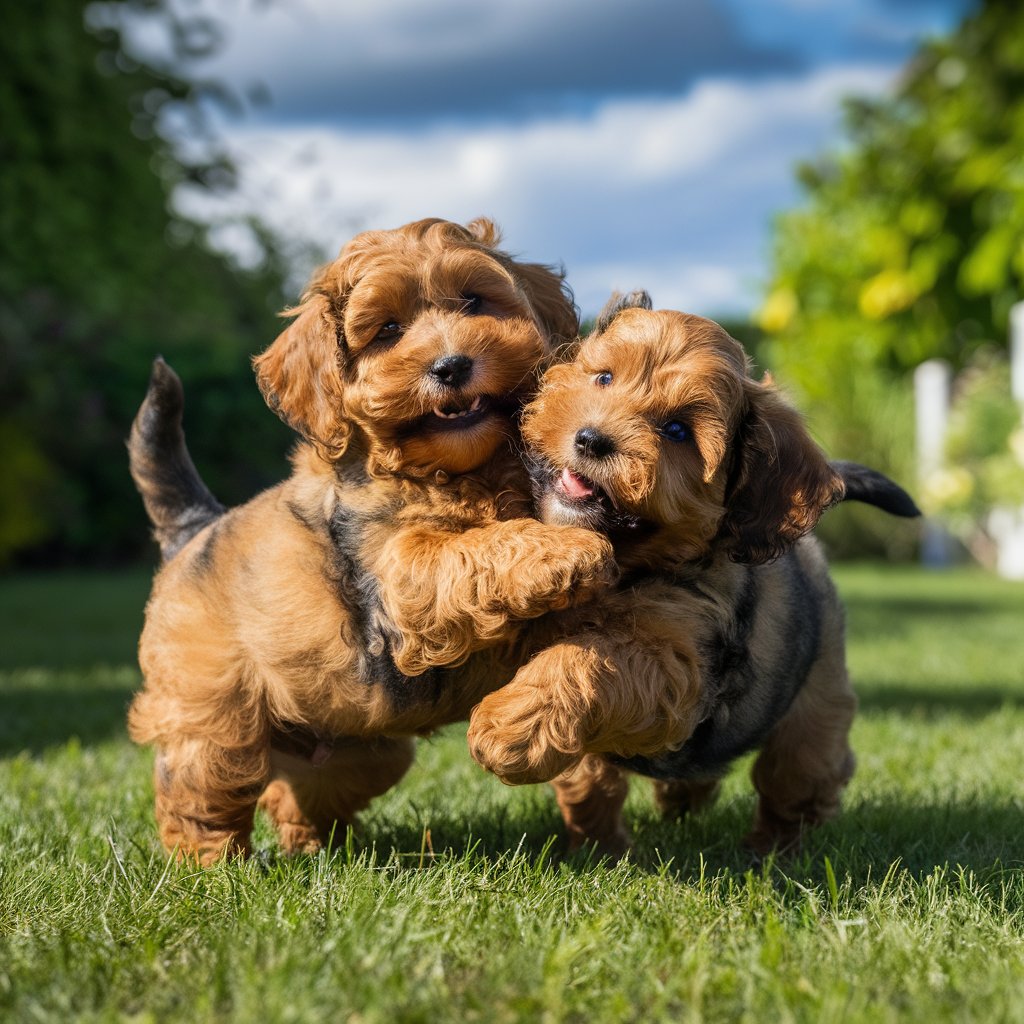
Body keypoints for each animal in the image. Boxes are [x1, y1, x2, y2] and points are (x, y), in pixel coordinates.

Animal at [132, 218, 618, 864]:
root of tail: (195, 527)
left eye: (474, 302)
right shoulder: (397, 575)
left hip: (360, 746)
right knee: (201, 791)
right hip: (213, 713)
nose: (451, 366)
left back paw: (313, 851)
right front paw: (567, 551)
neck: (458, 472)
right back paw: (211, 867)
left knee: (297, 794)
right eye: (387, 331)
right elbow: (470, 548)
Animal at [466, 290, 921, 856]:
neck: (632, 567)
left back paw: (773, 851)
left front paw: (508, 729)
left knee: (798, 778)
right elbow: (588, 777)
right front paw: (597, 846)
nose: (591, 439)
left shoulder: (678, 662)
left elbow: (588, 660)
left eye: (678, 431)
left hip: (816, 706)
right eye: (604, 378)